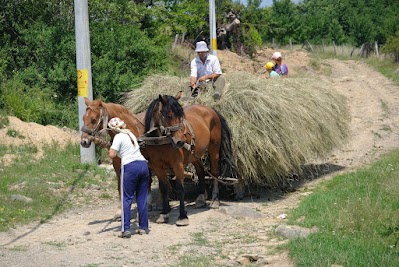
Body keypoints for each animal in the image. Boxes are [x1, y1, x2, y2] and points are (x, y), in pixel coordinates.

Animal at [142, 92, 234, 226]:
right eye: (168, 115)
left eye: (181, 116)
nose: (181, 141)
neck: (161, 141)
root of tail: (210, 109)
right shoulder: (157, 167)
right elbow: (164, 189)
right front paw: (164, 214)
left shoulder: (178, 165)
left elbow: (181, 189)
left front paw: (182, 216)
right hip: (195, 154)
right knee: (200, 171)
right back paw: (201, 198)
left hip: (214, 148)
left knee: (215, 172)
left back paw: (215, 200)